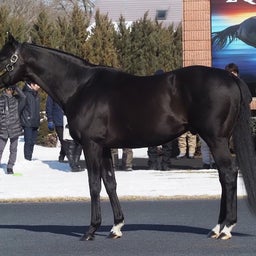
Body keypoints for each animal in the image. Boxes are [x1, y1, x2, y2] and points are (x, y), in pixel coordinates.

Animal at [0, 33, 256, 240]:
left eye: (4, 58)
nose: (3, 85)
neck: (81, 86)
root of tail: (230, 78)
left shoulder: (91, 146)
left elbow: (94, 185)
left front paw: (91, 229)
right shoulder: (104, 147)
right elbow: (110, 183)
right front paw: (116, 227)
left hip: (216, 139)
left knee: (229, 174)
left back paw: (226, 228)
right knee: (223, 176)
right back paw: (216, 227)